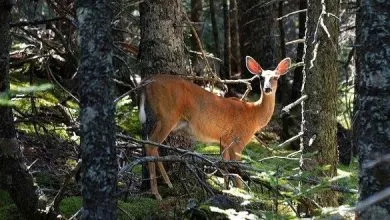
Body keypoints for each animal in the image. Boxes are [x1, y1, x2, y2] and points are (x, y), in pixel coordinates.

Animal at [139, 56, 290, 199]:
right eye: (261, 77)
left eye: (276, 77)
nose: (267, 89)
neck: (253, 114)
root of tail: (146, 82)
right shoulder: (238, 140)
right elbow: (237, 171)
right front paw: (241, 194)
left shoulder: (224, 141)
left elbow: (225, 167)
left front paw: (227, 191)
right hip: (167, 115)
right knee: (151, 145)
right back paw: (156, 193)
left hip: (161, 119)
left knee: (150, 143)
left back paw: (168, 184)